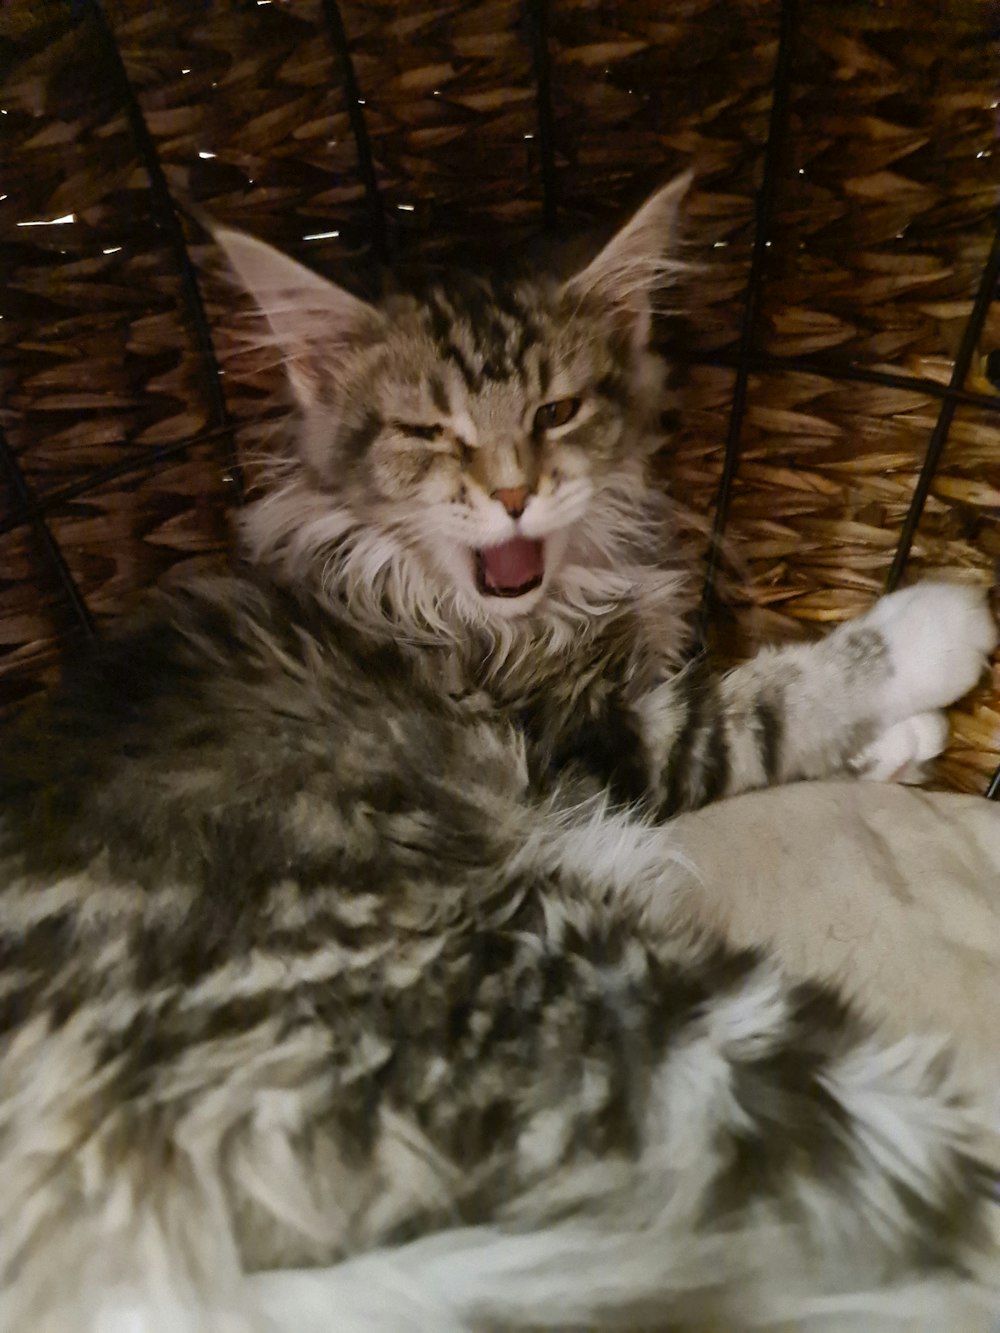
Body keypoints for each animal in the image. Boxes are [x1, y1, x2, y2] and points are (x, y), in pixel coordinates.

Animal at [1, 179, 1000, 1333]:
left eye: (554, 413)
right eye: (432, 433)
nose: (515, 492)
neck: (480, 606)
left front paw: (906, 737)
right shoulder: (584, 732)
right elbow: (750, 705)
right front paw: (936, 633)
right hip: (572, 990)